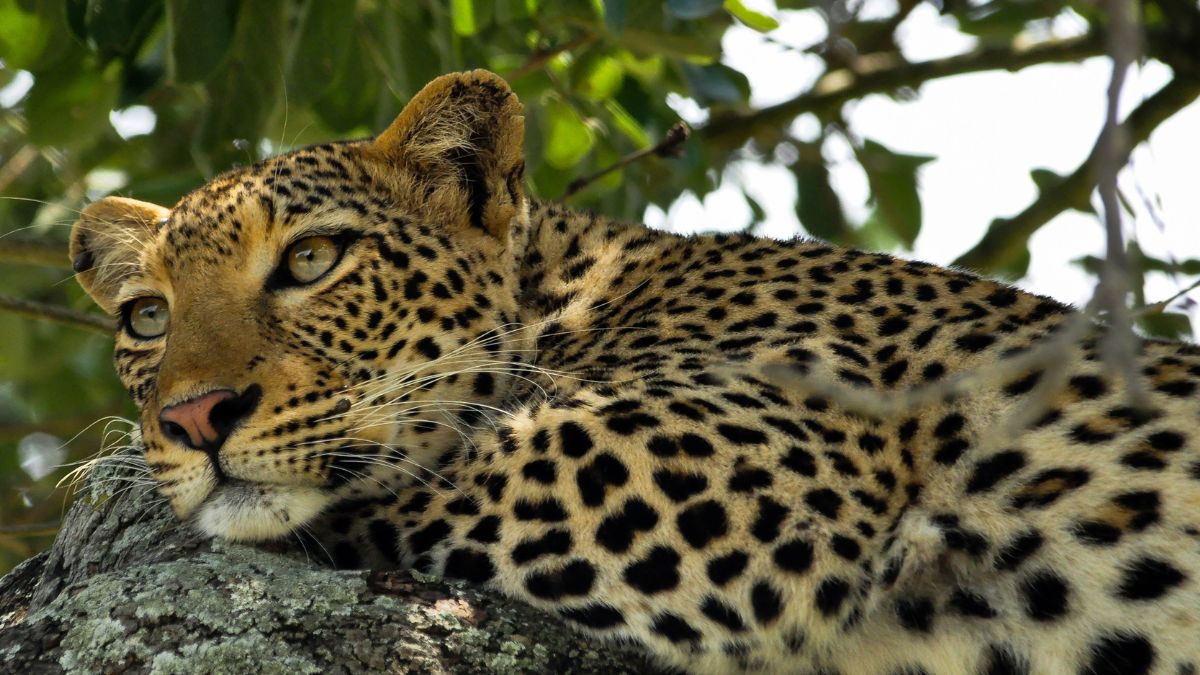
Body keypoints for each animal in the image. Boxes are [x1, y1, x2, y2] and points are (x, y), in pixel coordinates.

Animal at [67, 69, 1199, 674]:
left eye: (311, 260)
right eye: (146, 317)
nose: (197, 417)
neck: (568, 292)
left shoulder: (750, 450)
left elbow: (408, 482)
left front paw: (120, 508)